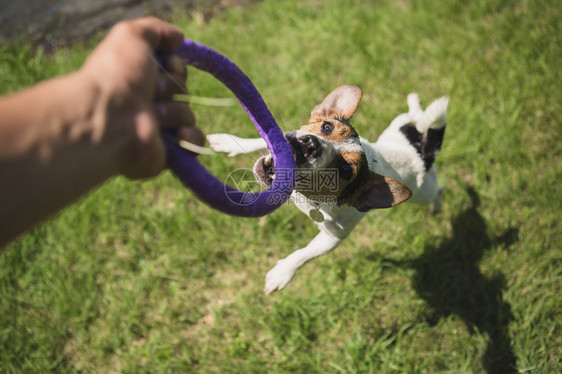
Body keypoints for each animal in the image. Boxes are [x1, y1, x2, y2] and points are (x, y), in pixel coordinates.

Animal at [206, 85, 446, 296]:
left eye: (346, 169)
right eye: (327, 127)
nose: (310, 145)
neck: (305, 197)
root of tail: (423, 152)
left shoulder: (333, 237)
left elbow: (306, 253)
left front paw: (282, 272)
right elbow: (261, 140)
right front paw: (230, 142)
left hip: (423, 192)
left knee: (438, 190)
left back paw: (437, 207)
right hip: (397, 126)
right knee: (415, 117)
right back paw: (415, 104)